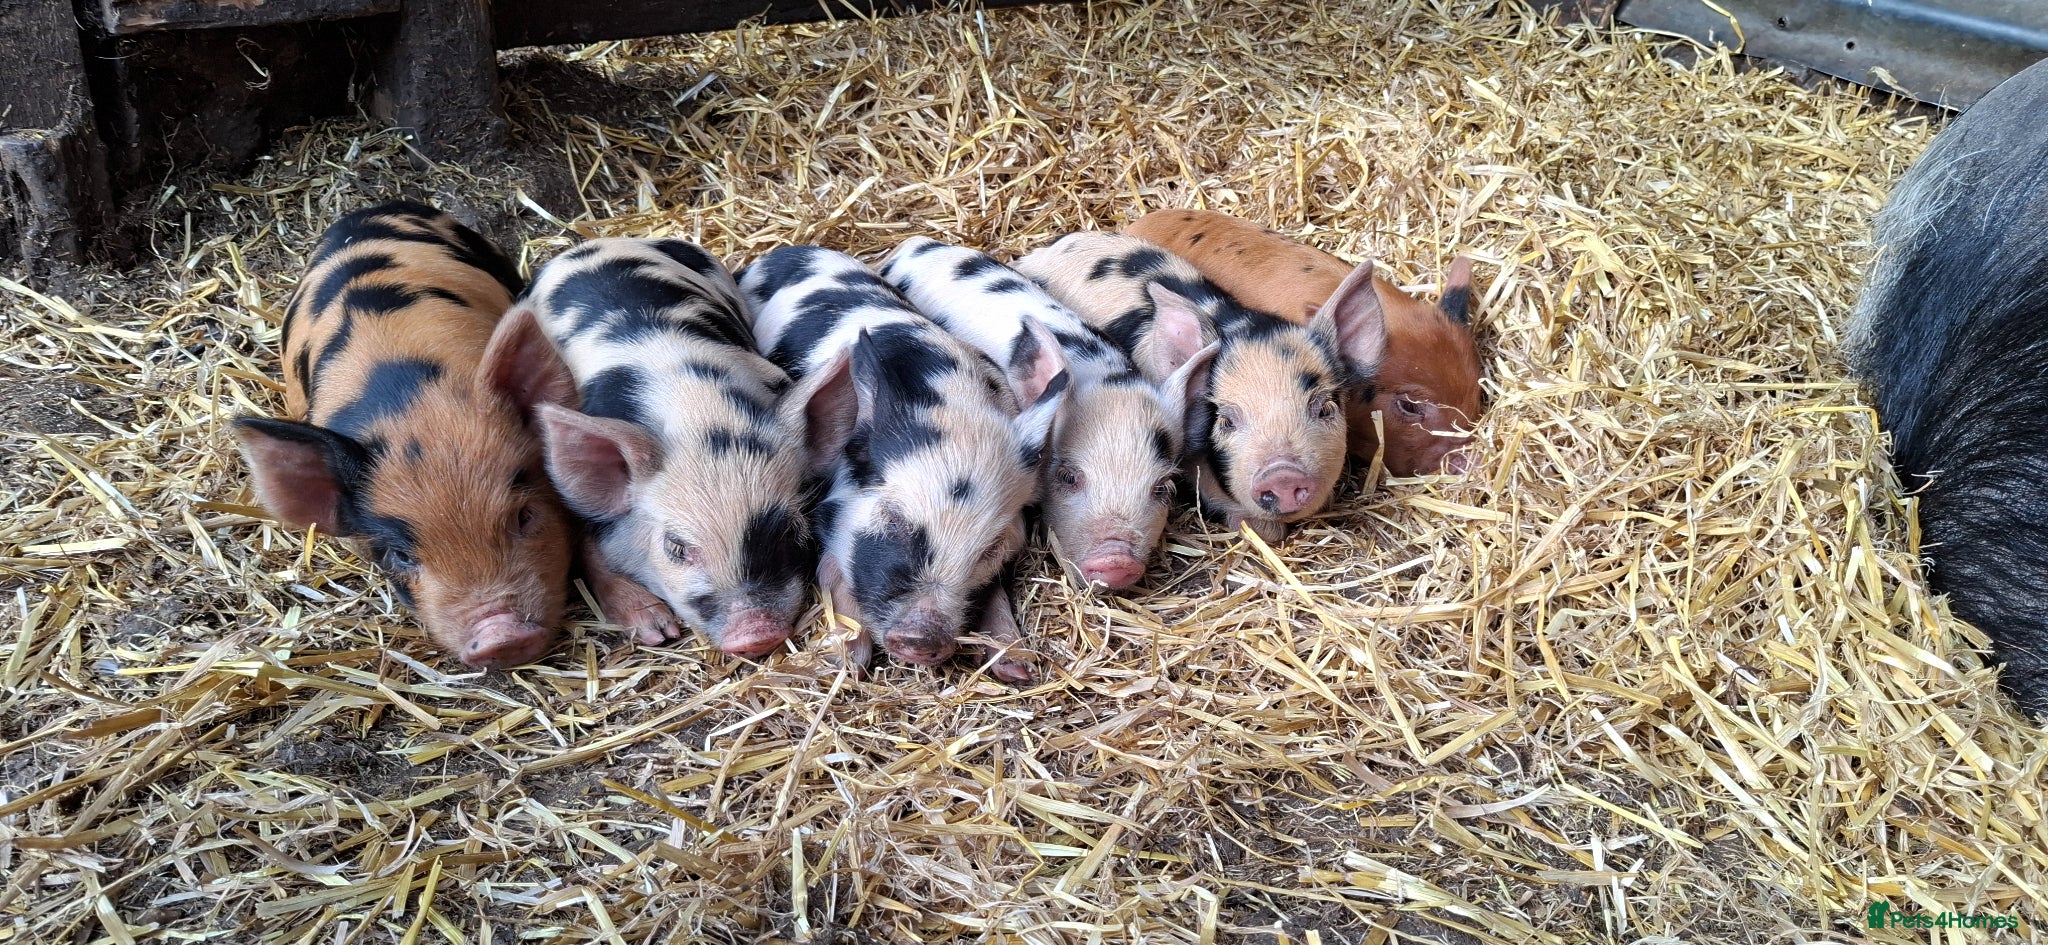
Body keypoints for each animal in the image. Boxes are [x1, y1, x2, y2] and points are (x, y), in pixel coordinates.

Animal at [518, 238, 852, 659]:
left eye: (789, 530)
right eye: (675, 547)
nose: (756, 632)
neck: (697, 411)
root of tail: (595, 242)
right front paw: (656, 631)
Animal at [739, 245, 1068, 681]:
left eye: (990, 548)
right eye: (894, 520)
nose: (921, 637)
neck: (949, 399)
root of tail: (786, 251)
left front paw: (1017, 668)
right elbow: (831, 570)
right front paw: (840, 663)